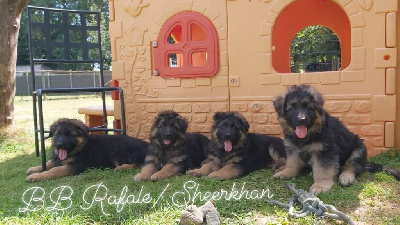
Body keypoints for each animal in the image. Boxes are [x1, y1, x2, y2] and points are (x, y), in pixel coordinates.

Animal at [272, 85, 400, 194]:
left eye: (309, 107)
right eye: (291, 108)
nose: (301, 120)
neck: (311, 133)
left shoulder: (325, 151)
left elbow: (322, 170)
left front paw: (321, 185)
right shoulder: (292, 148)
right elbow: (292, 162)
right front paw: (287, 172)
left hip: (358, 148)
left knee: (353, 167)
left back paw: (346, 177)